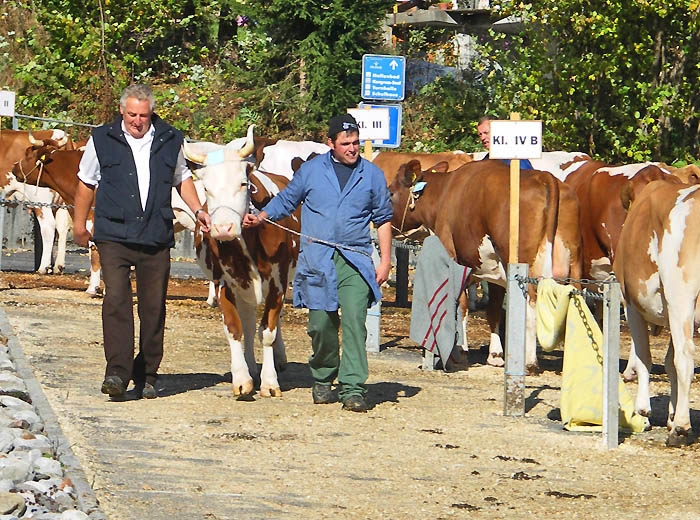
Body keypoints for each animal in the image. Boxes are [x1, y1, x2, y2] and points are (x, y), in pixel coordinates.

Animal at [182, 127, 300, 398]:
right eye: (206, 188)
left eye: (243, 184)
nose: (223, 228)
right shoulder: (223, 282)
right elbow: (235, 329)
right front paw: (242, 378)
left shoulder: (278, 283)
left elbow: (267, 331)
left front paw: (270, 381)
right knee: (247, 323)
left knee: (271, 323)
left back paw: (278, 359)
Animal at [388, 157, 556, 370]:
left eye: (391, 192)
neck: (443, 194)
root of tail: (540, 177)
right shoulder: (492, 268)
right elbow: (493, 310)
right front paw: (495, 355)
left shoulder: (453, 258)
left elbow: (460, 304)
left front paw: (459, 351)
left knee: (528, 302)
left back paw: (528, 361)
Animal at [612, 177, 700, 444]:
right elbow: (669, 363)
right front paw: (671, 414)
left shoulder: (630, 305)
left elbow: (644, 357)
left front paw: (643, 411)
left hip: (681, 296)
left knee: (685, 356)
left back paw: (682, 428)